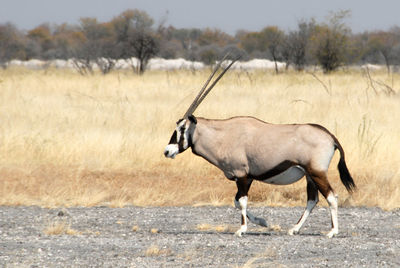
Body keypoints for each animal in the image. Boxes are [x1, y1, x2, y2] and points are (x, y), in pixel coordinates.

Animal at [163, 56, 356, 237]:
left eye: (182, 128)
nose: (167, 151)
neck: (224, 135)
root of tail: (330, 137)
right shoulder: (246, 178)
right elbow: (236, 202)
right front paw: (263, 222)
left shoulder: (242, 175)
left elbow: (241, 201)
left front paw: (242, 229)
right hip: (309, 175)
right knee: (312, 199)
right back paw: (294, 229)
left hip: (317, 173)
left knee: (331, 197)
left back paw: (332, 231)